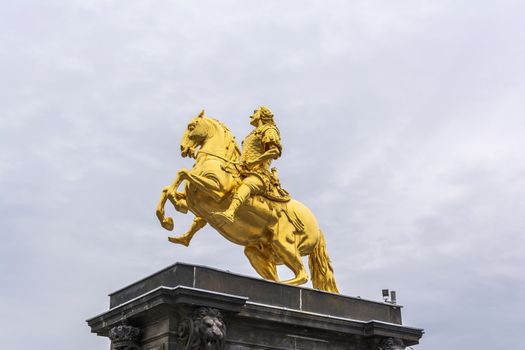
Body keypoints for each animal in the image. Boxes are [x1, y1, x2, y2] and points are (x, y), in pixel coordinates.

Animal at [156, 112, 338, 292]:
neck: (217, 162)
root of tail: (317, 228)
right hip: (258, 252)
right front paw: (167, 220)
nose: (183, 148)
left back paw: (277, 287)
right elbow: (168, 190)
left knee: (301, 275)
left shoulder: (217, 190)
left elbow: (182, 173)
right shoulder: (195, 201)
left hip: (284, 245)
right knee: (278, 274)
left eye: (191, 126)